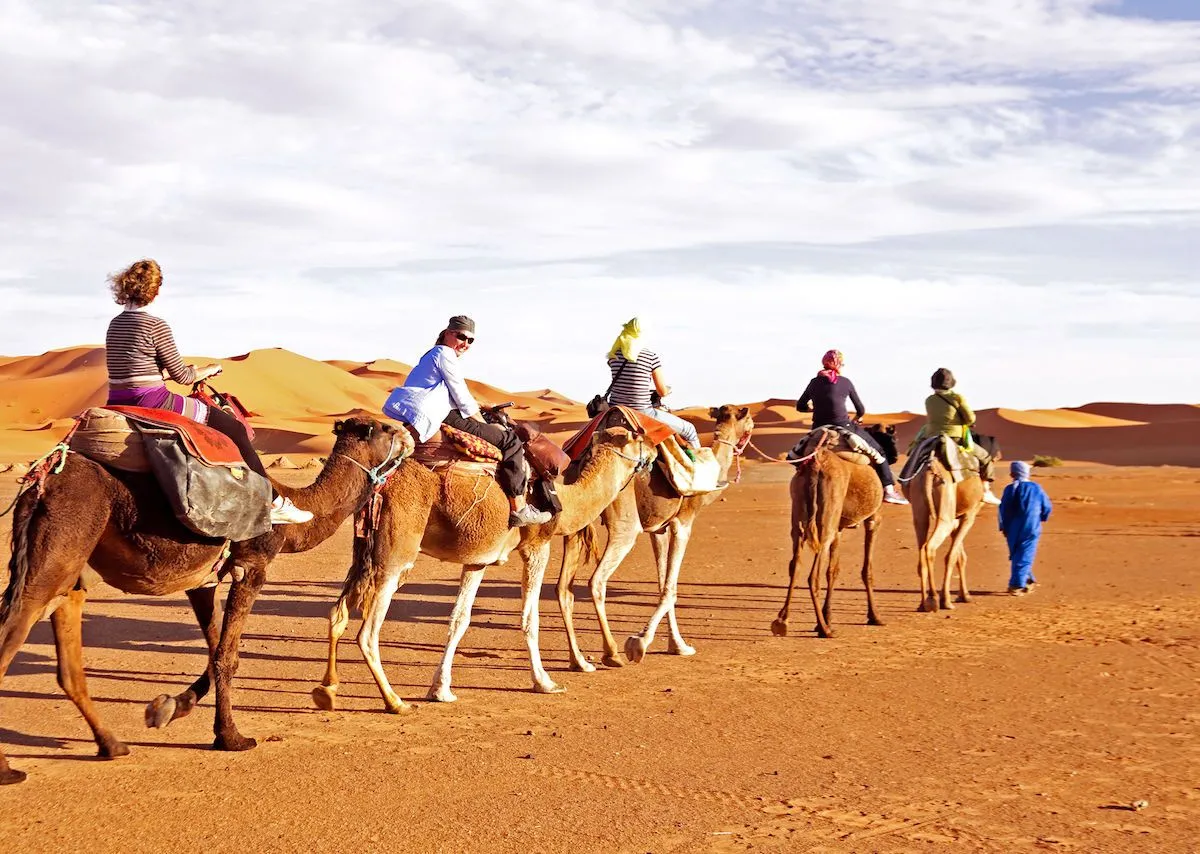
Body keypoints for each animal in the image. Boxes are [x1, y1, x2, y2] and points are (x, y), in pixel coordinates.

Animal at [0, 417, 408, 782]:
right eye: (386, 429)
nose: (409, 434)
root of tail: (42, 480)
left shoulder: (204, 579)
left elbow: (216, 653)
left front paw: (167, 708)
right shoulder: (252, 566)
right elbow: (227, 656)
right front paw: (232, 737)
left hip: (70, 570)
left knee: (68, 657)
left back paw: (112, 745)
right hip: (61, 544)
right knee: (14, 629)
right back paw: (8, 769)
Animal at [309, 424, 648, 710]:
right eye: (638, 438)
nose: (654, 454)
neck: (565, 497)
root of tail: (381, 483)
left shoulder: (478, 560)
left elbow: (460, 619)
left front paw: (441, 690)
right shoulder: (537, 544)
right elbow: (530, 618)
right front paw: (545, 682)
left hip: (364, 550)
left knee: (337, 613)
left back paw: (327, 690)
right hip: (396, 553)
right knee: (367, 632)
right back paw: (394, 701)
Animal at [552, 403, 748, 671]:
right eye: (747, 420)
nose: (749, 432)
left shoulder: (659, 529)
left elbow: (662, 582)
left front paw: (678, 645)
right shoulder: (683, 522)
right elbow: (671, 588)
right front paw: (639, 642)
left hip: (576, 517)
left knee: (563, 587)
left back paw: (579, 661)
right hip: (625, 523)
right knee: (597, 581)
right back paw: (611, 653)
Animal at [772, 427, 897, 642]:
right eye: (892, 439)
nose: (896, 456)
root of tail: (817, 462)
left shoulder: (838, 527)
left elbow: (833, 570)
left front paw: (827, 616)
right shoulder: (873, 519)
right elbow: (867, 569)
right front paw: (875, 616)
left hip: (800, 513)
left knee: (795, 565)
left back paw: (783, 622)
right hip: (826, 517)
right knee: (813, 575)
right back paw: (825, 630)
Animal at [902, 450, 984, 609]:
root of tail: (931, 469)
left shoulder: (956, 518)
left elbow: (960, 556)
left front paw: (965, 595)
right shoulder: (969, 514)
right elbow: (952, 556)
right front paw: (947, 600)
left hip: (920, 507)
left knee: (921, 549)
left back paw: (923, 604)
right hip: (945, 508)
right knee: (930, 547)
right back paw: (935, 599)